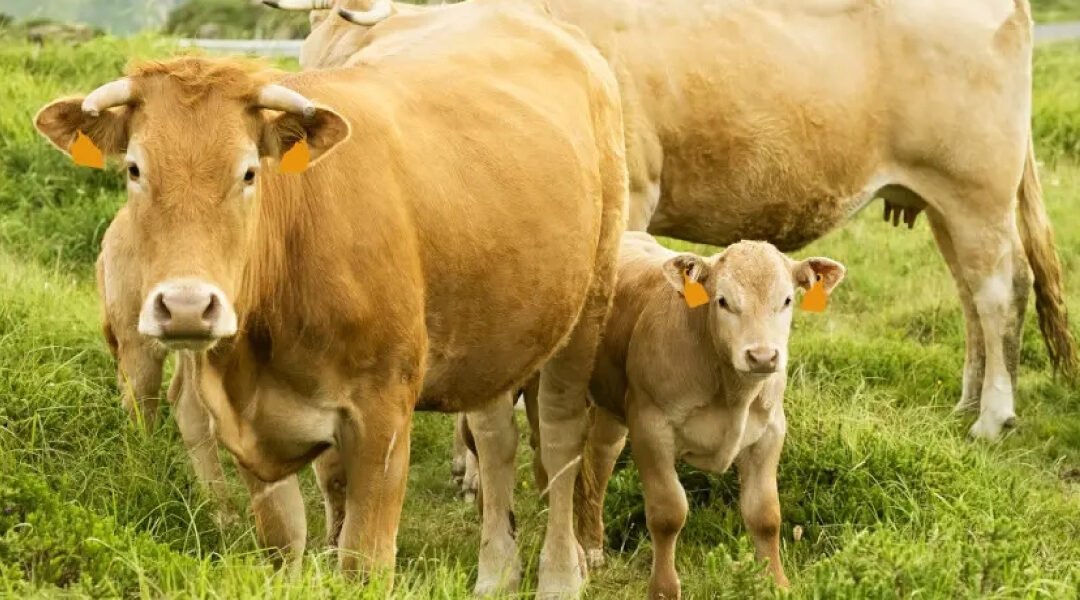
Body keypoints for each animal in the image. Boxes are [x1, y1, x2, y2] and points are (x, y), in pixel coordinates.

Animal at [35, 0, 627, 595]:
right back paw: (497, 573)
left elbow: (364, 559)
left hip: (588, 305)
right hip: (497, 328)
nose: (185, 306)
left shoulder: (382, 416)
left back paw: (560, 574)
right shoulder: (248, 432)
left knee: (560, 438)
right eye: (135, 169)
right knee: (496, 439)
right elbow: (283, 541)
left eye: (248, 172)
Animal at [315, 0, 1077, 443]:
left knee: (998, 295)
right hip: (949, 203)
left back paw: (992, 417)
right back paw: (968, 403)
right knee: (973, 301)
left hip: (974, 192)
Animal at [569, 232, 845, 597]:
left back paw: (592, 545)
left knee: (599, 460)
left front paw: (776, 583)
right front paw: (663, 589)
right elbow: (668, 513)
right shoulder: (650, 428)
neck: (732, 395)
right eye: (723, 301)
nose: (762, 356)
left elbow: (765, 515)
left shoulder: (769, 432)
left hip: (609, 409)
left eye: (787, 300)